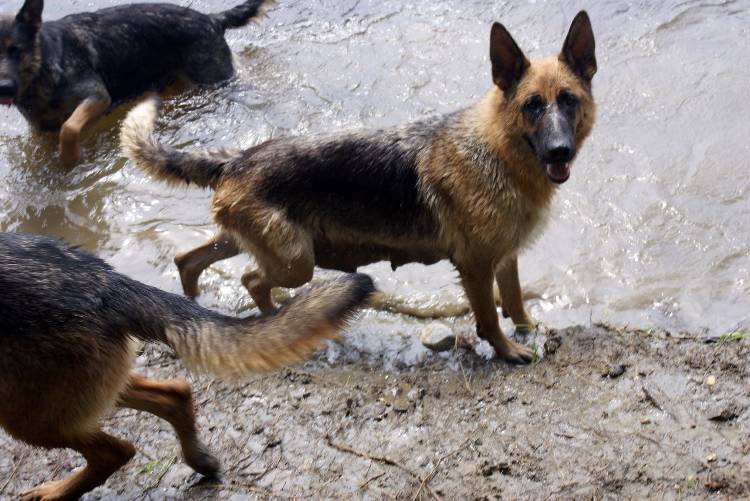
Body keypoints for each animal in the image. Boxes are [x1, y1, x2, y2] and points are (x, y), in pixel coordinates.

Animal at [0, 0, 274, 168]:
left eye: (17, 50)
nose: (4, 88)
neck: (43, 63)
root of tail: (212, 18)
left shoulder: (98, 96)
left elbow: (69, 128)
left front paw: (71, 158)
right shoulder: (40, 130)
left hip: (213, 79)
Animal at [0, 232, 374, 498]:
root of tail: (107, 282)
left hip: (32, 412)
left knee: (115, 450)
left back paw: (55, 493)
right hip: (65, 392)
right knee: (174, 392)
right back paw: (201, 460)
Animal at [122, 12, 600, 364]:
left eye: (568, 100)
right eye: (532, 106)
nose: (559, 151)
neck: (496, 150)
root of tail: (237, 158)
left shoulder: (506, 258)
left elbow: (515, 301)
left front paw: (527, 328)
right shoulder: (476, 267)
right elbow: (489, 318)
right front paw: (507, 350)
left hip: (250, 241)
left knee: (190, 259)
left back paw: (198, 304)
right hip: (296, 261)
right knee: (251, 278)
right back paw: (277, 322)